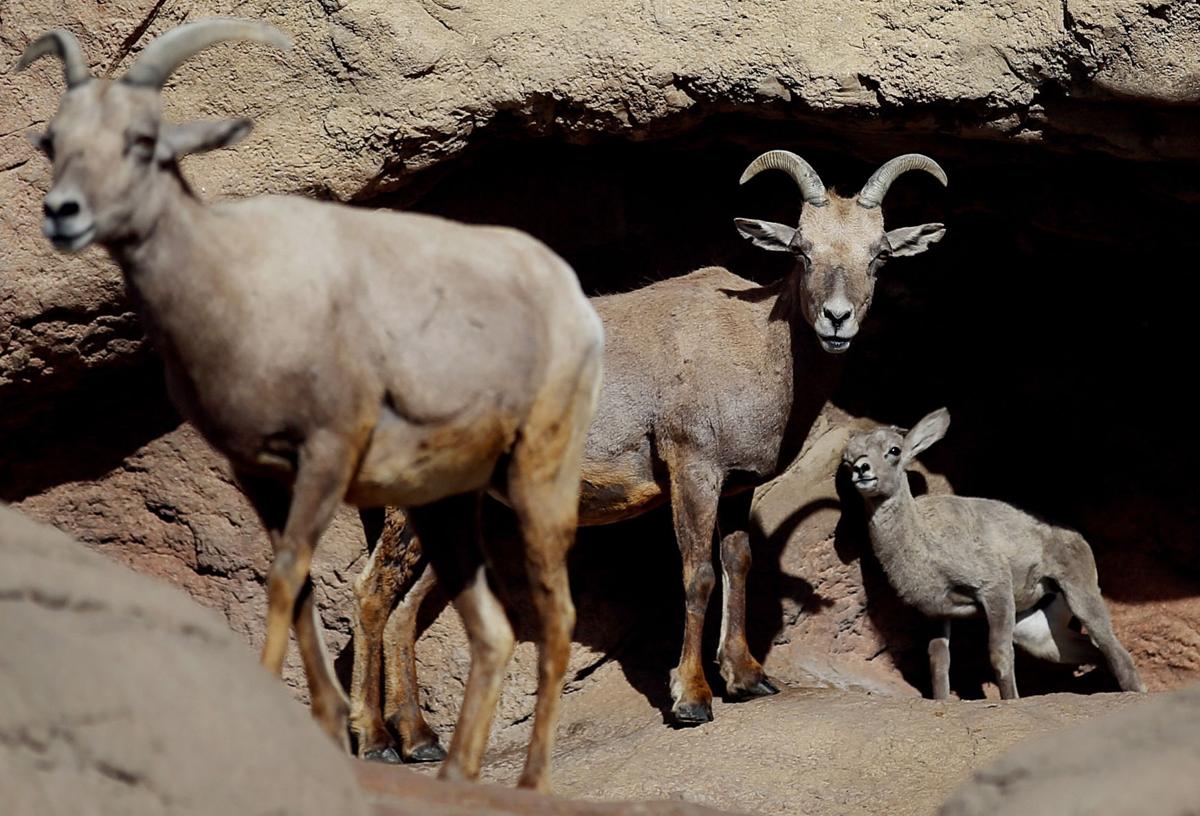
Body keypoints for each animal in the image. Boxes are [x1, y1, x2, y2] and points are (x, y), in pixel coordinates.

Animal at [24, 19, 609, 792]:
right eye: (53, 141)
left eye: (143, 141)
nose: (63, 215)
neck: (239, 293)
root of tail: (571, 300)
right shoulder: (260, 475)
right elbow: (297, 588)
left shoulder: (328, 455)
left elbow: (283, 580)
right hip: (445, 506)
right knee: (490, 629)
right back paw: (446, 769)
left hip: (538, 477)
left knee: (557, 616)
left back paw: (525, 782)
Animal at [840, 405, 1147, 696]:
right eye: (847, 459)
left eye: (894, 450)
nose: (861, 469)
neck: (924, 542)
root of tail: (1077, 536)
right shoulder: (939, 614)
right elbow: (939, 662)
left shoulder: (994, 591)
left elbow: (1000, 656)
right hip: (1036, 633)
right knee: (1093, 651)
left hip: (1080, 597)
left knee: (1113, 649)